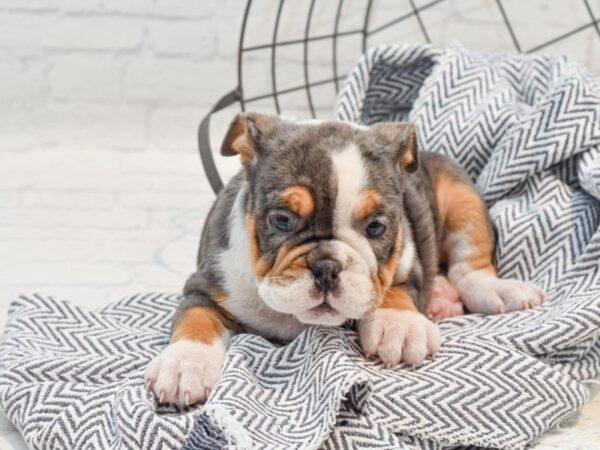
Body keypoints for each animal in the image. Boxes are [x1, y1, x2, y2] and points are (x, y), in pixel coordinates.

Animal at [145, 113, 544, 408]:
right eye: (282, 220)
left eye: (376, 227)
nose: (327, 267)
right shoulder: (205, 286)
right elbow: (196, 319)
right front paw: (185, 363)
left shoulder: (410, 260)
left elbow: (395, 288)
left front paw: (399, 325)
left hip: (461, 196)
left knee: (469, 264)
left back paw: (492, 291)